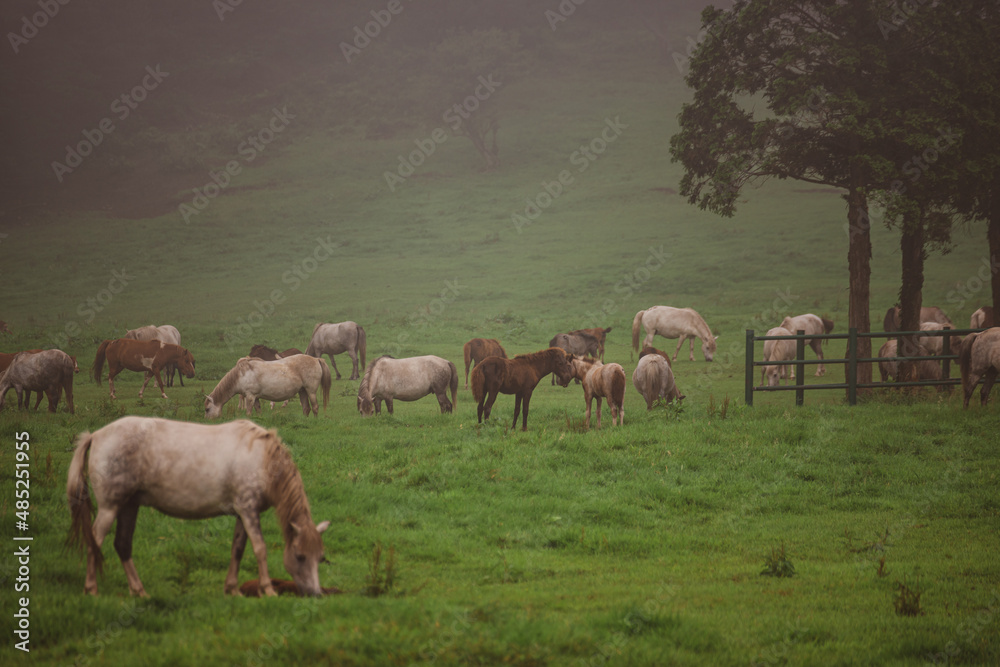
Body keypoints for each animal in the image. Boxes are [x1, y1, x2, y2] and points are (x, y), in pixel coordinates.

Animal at [66, 416, 330, 597]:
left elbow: (238, 549)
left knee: (122, 544)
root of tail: (96, 435)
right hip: (110, 508)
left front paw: (232, 589)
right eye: (300, 556)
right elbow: (260, 549)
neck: (263, 459)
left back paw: (139, 591)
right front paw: (268, 590)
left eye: (321, 558)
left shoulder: (242, 513)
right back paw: (91, 589)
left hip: (129, 506)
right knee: (95, 541)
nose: (315, 594)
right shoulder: (248, 511)